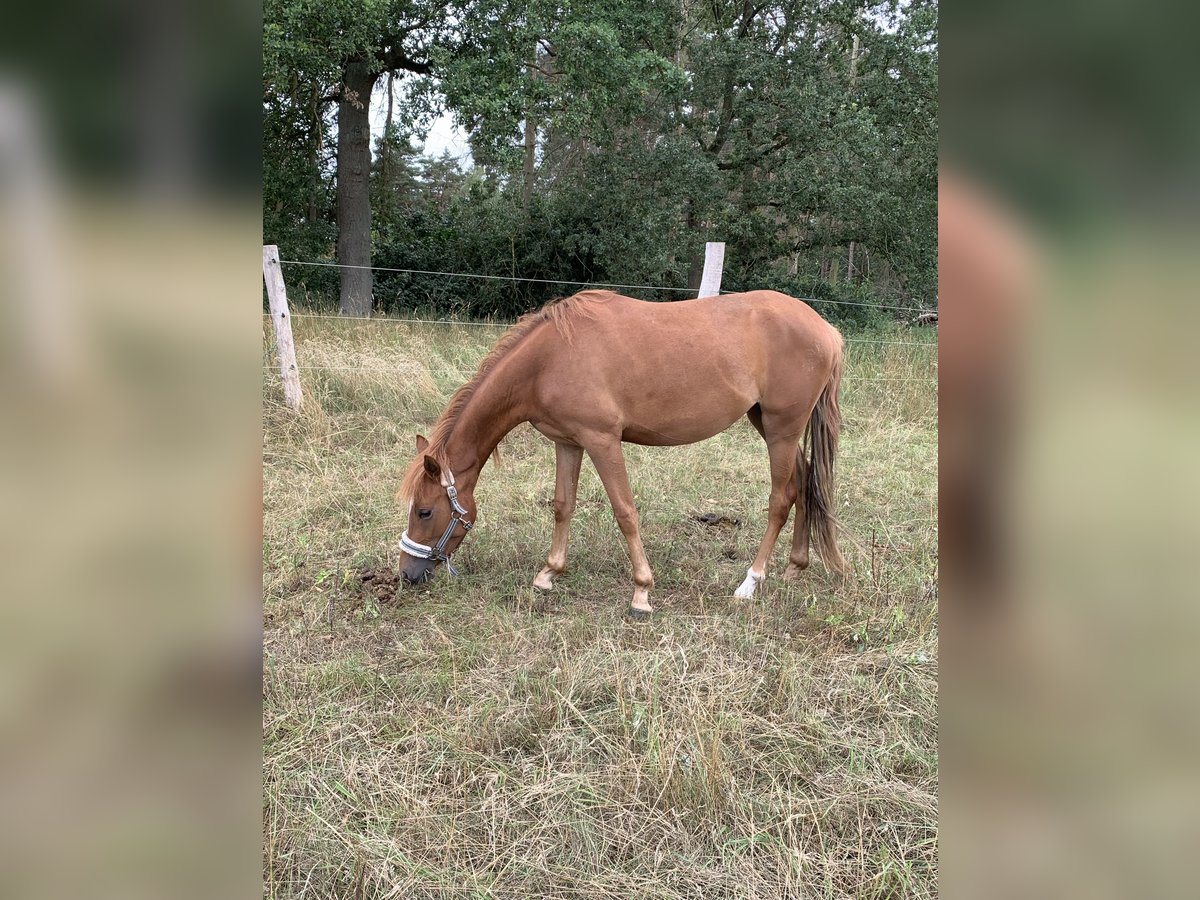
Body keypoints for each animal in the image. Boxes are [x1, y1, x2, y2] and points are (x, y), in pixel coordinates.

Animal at [396, 290, 844, 619]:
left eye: (424, 511)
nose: (407, 574)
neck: (550, 358)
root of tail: (825, 328)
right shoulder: (569, 442)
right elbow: (563, 505)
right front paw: (548, 574)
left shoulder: (603, 440)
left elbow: (624, 511)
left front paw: (641, 592)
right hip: (768, 423)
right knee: (805, 483)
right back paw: (794, 568)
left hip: (782, 429)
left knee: (781, 499)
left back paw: (751, 582)